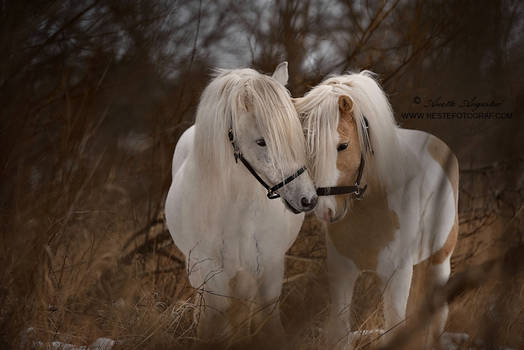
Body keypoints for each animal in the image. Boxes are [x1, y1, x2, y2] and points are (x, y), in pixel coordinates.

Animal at [166, 63, 318, 344]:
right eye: (261, 141)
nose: (308, 199)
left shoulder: (270, 263)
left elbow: (267, 315)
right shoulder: (210, 270)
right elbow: (216, 318)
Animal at [294, 72, 458, 348]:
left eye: (342, 145)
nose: (324, 209)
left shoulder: (396, 275)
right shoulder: (342, 272)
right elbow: (340, 331)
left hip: (439, 261)